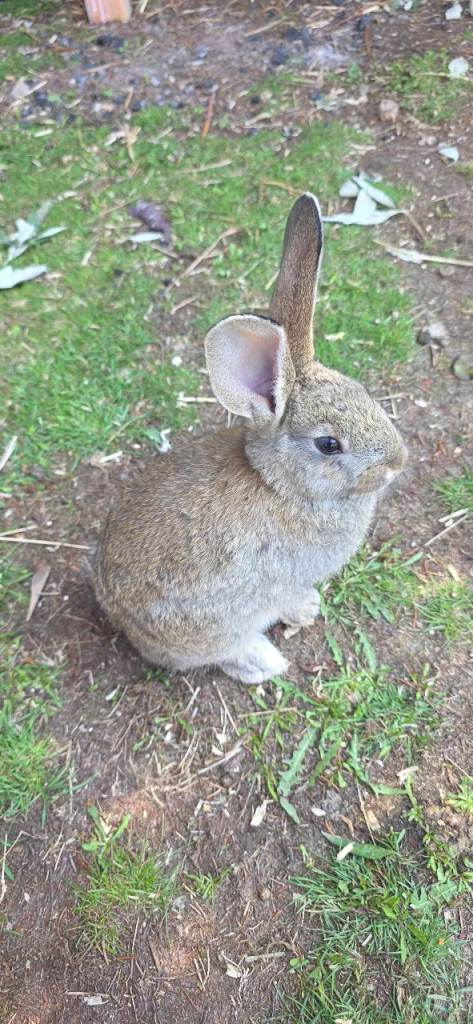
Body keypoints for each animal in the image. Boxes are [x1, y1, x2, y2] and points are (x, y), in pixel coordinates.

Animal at [93, 192, 407, 684]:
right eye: (328, 444)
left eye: (363, 392)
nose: (398, 462)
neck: (279, 486)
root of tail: (120, 622)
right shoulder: (279, 580)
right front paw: (305, 611)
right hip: (210, 626)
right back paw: (264, 662)